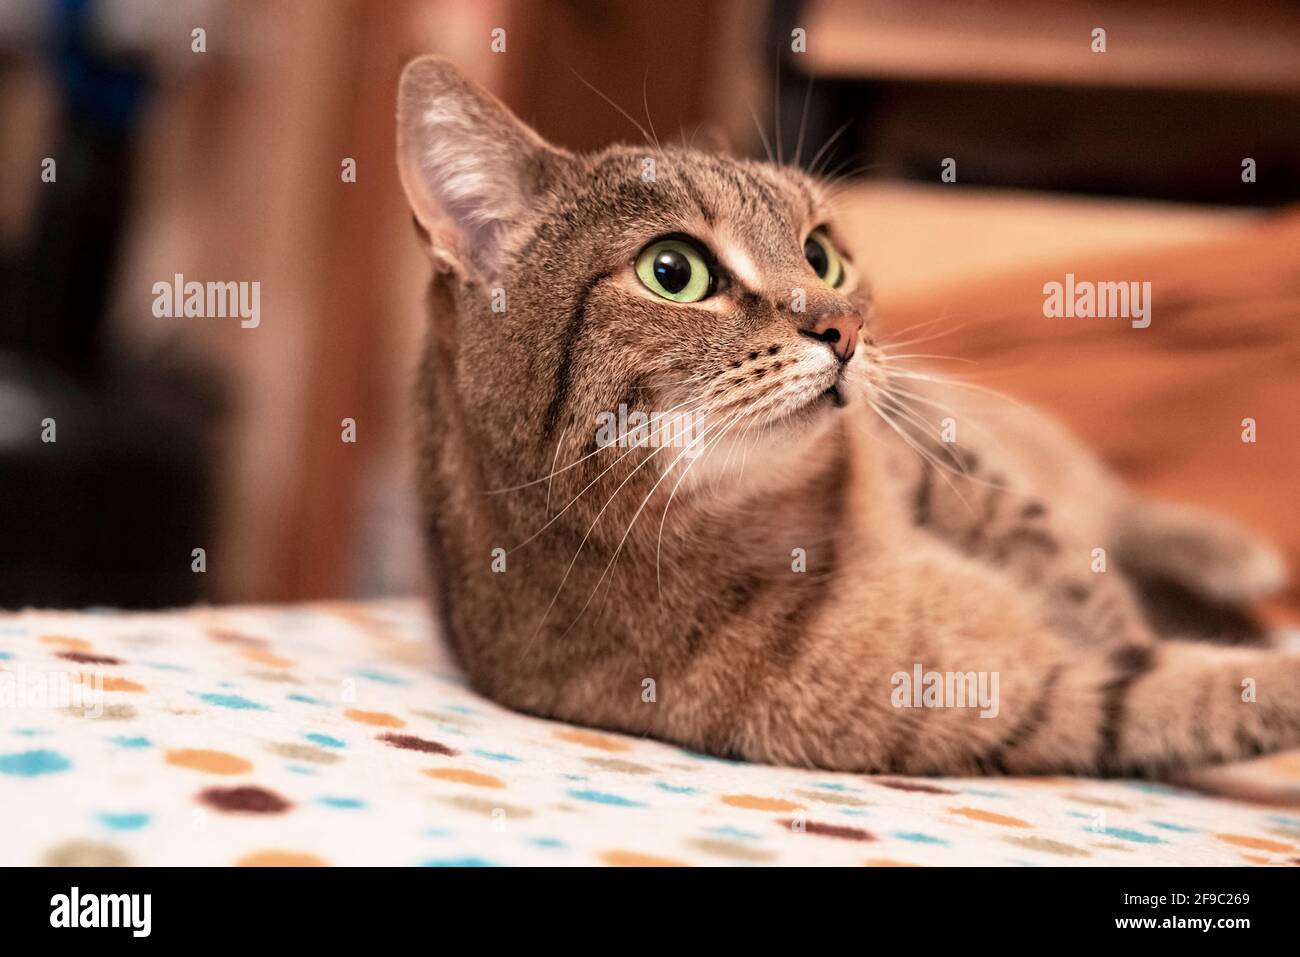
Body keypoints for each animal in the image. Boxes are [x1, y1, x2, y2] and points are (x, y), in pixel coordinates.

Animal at [395, 55, 1300, 780]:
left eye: (821, 253)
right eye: (672, 270)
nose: (847, 328)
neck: (792, 520)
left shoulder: (943, 458)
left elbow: (1070, 572)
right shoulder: (1045, 699)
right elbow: (1192, 687)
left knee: (1118, 508)